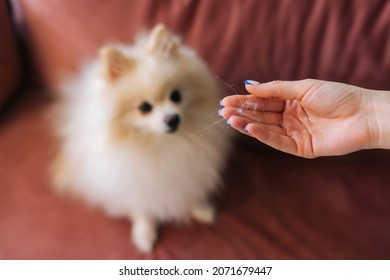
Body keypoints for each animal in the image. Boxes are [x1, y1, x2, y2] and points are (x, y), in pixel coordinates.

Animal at [50, 24, 230, 252]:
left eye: (176, 96)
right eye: (144, 107)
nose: (172, 119)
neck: (161, 143)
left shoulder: (190, 171)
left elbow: (189, 189)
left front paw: (200, 209)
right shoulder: (135, 180)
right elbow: (142, 208)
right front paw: (145, 234)